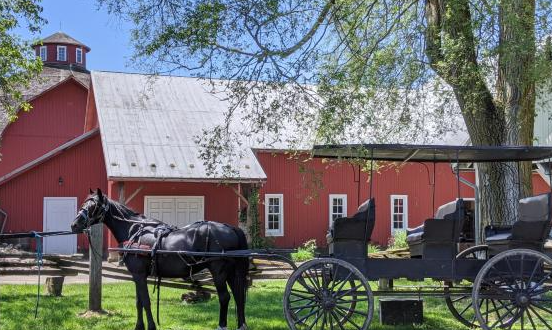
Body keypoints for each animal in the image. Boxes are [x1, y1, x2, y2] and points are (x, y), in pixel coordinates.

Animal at [70, 189, 248, 330]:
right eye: (85, 203)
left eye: (93, 206)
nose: (74, 225)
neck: (133, 231)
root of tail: (231, 228)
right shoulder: (137, 276)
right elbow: (139, 302)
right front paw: (139, 326)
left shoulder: (139, 274)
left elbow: (146, 301)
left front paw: (151, 326)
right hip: (231, 272)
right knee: (239, 296)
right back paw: (241, 325)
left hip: (219, 272)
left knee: (225, 297)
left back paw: (222, 325)